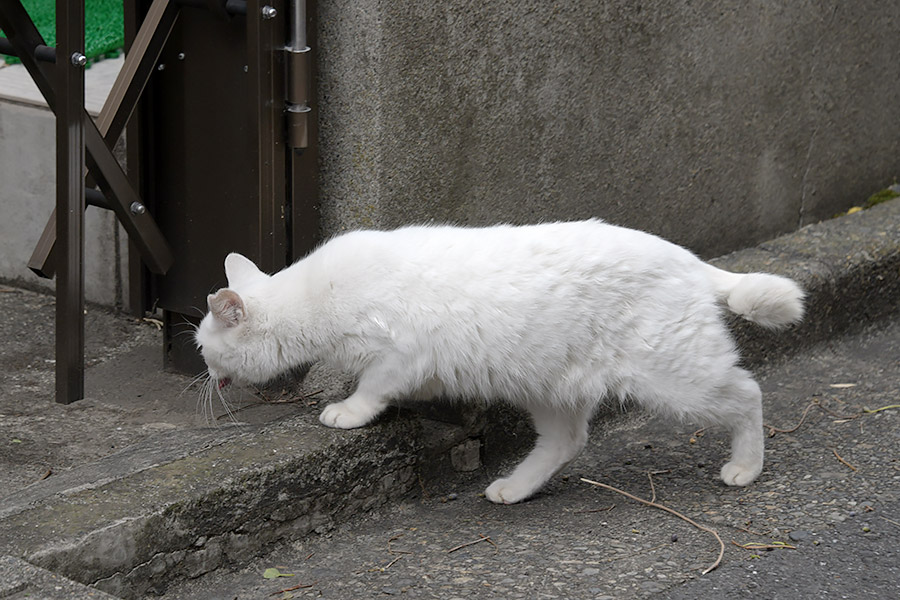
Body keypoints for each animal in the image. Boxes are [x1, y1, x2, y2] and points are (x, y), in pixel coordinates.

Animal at [195, 219, 800, 502]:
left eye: (202, 346)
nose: (202, 371)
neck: (315, 299)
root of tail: (689, 258)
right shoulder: (418, 363)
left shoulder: (401, 353)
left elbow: (371, 387)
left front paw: (347, 411)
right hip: (551, 386)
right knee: (567, 442)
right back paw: (515, 487)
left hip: (677, 375)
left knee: (748, 394)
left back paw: (746, 467)